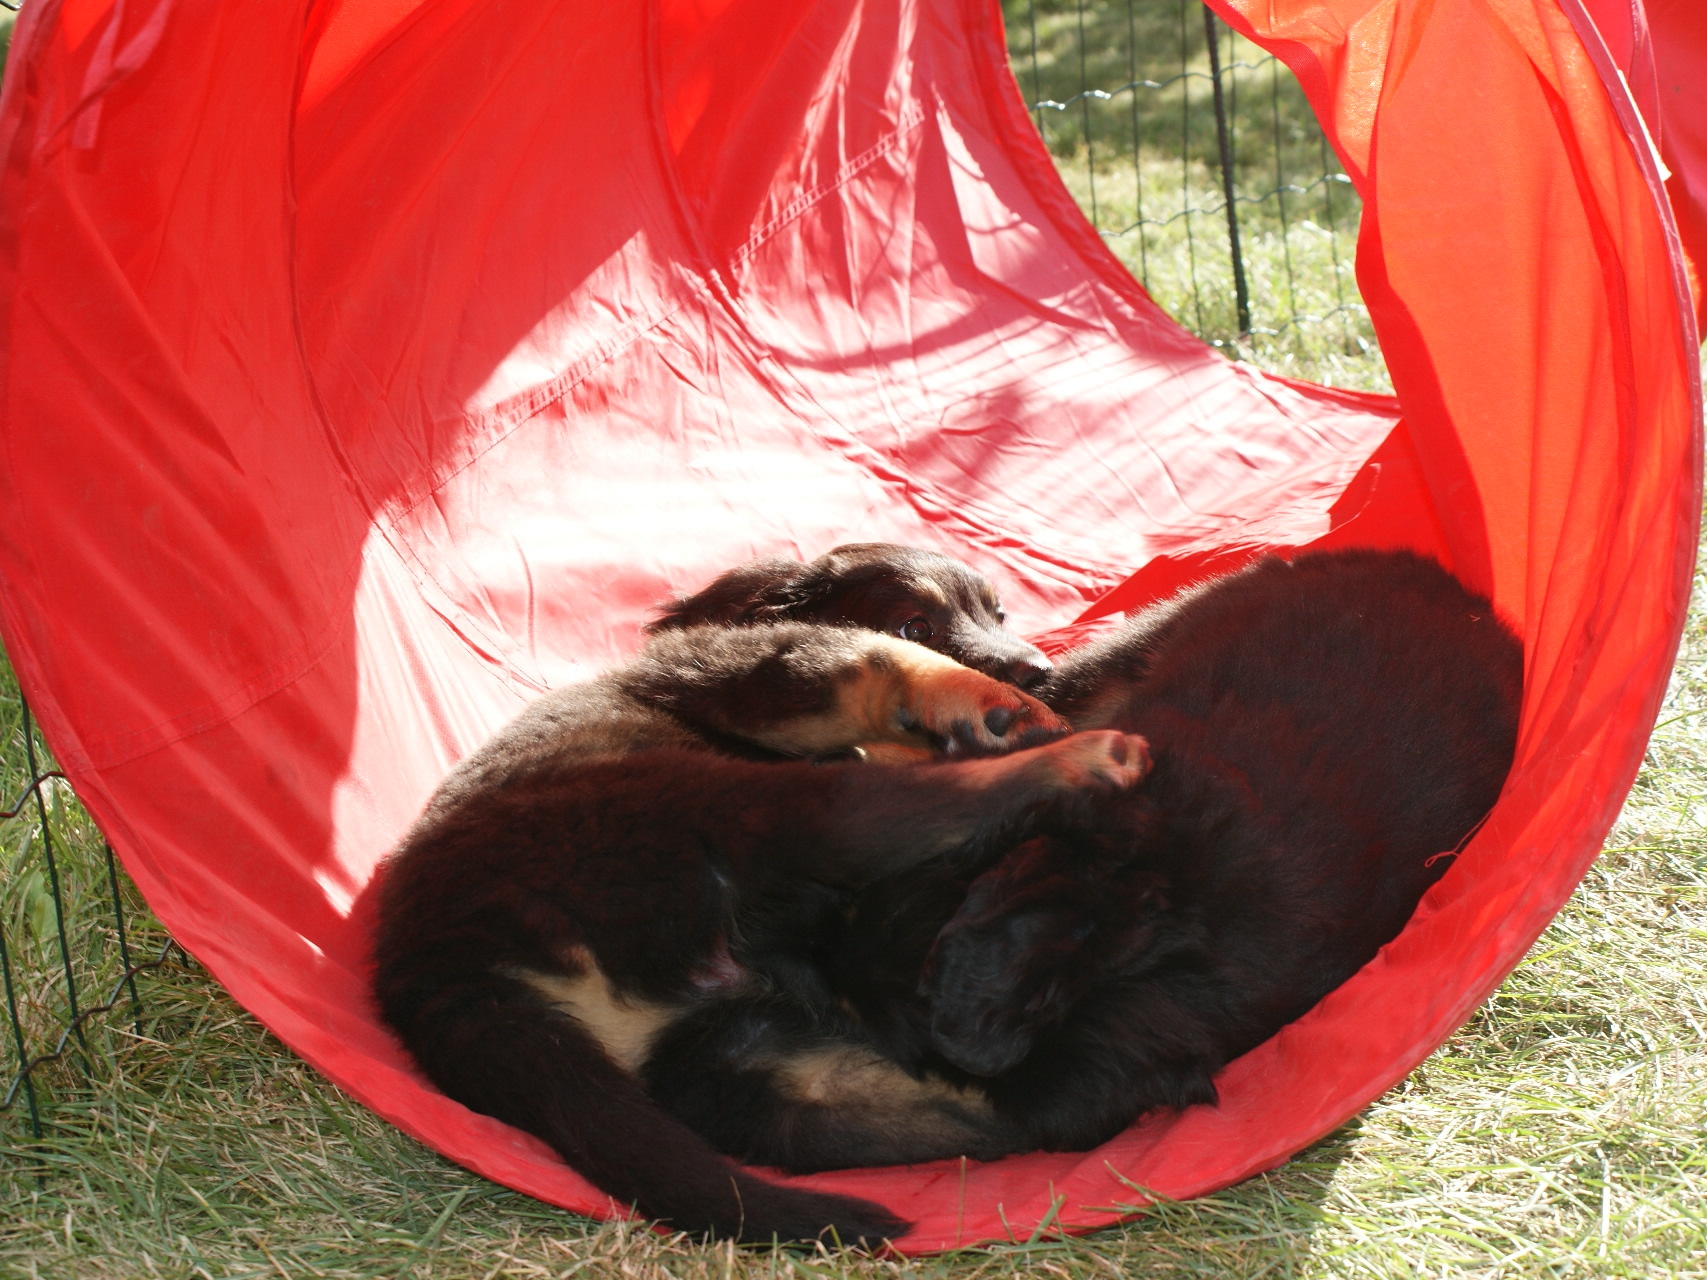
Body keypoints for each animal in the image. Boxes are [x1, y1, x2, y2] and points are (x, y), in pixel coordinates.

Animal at [373, 546, 1147, 1249]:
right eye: (916, 621)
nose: (1039, 671)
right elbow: (873, 661)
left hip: (747, 1068)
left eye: (998, 612)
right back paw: (1071, 761)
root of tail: (439, 974)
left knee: (997, 1109)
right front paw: (1001, 708)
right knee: (893, 811)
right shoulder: (758, 671)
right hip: (722, 809)